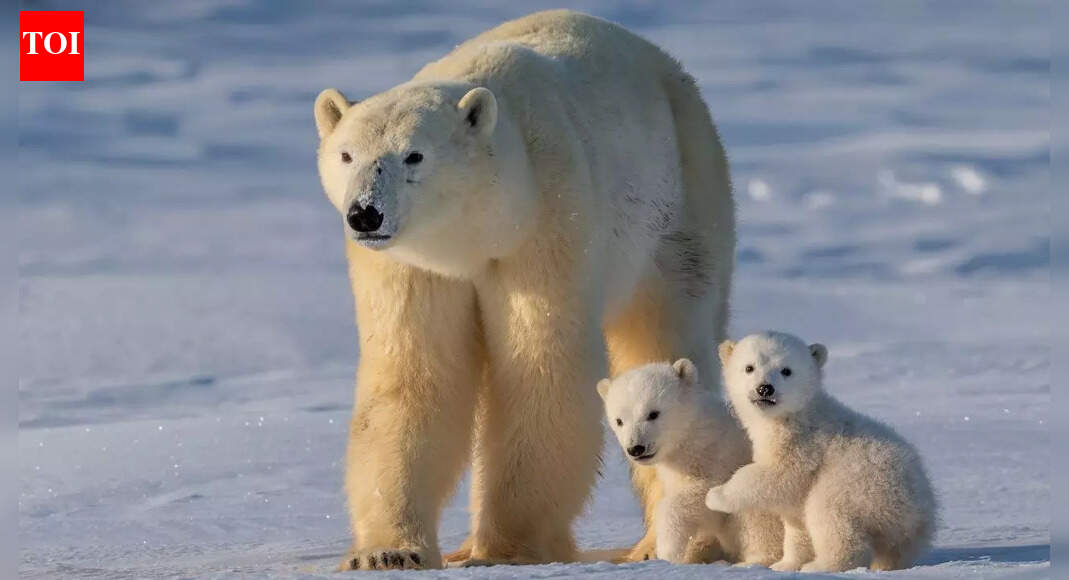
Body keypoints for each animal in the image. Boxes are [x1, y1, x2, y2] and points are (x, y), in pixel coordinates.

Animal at [314, 10, 735, 570]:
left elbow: (541, 369)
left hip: (681, 203)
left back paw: (662, 544)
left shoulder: (547, 223)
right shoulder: (412, 266)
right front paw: (387, 552)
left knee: (666, 333)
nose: (365, 213)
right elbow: (413, 376)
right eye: (346, 154)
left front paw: (505, 549)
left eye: (414, 155)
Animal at [597, 359, 783, 565]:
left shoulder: (720, 459)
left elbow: (703, 497)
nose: (636, 448)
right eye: (619, 420)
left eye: (653, 413)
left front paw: (668, 550)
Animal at [706, 332, 937, 572]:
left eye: (786, 370)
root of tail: (918, 509)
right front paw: (784, 565)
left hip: (859, 485)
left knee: (829, 515)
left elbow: (776, 475)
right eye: (749, 367)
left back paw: (820, 565)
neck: (794, 415)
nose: (765, 388)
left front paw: (715, 496)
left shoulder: (802, 444)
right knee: (895, 550)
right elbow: (796, 524)